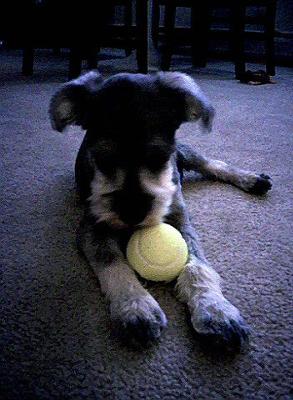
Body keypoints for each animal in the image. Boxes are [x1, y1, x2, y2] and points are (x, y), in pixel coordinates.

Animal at [49, 71, 270, 350]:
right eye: (103, 159)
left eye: (160, 156)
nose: (132, 214)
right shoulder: (93, 227)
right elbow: (113, 262)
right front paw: (136, 308)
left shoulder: (180, 220)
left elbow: (197, 266)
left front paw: (217, 312)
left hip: (187, 152)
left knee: (213, 164)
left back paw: (252, 179)